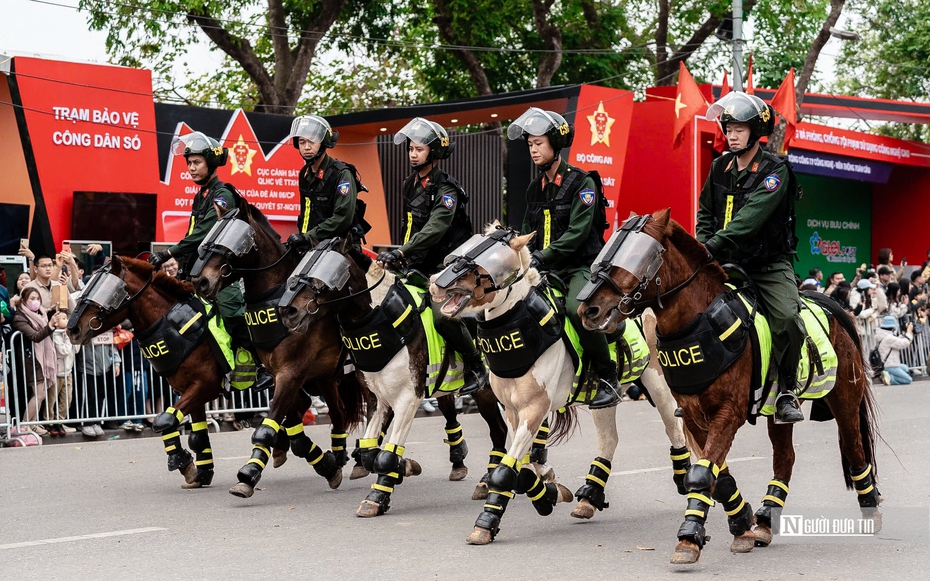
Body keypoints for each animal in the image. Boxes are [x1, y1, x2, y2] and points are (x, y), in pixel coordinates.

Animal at [188, 201, 362, 498]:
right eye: (210, 235)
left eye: (229, 240)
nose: (200, 281)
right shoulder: (281, 376)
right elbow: (287, 427)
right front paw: (320, 462)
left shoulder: (291, 374)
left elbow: (268, 428)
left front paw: (249, 473)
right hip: (326, 378)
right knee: (338, 411)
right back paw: (338, 456)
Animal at [572, 211, 876, 564]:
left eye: (635, 257)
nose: (588, 310)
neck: (697, 323)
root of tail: (832, 305)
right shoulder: (694, 416)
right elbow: (715, 474)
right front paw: (741, 523)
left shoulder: (728, 412)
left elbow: (704, 473)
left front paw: (689, 537)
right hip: (776, 413)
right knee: (785, 457)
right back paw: (766, 519)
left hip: (844, 401)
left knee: (855, 450)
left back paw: (871, 509)